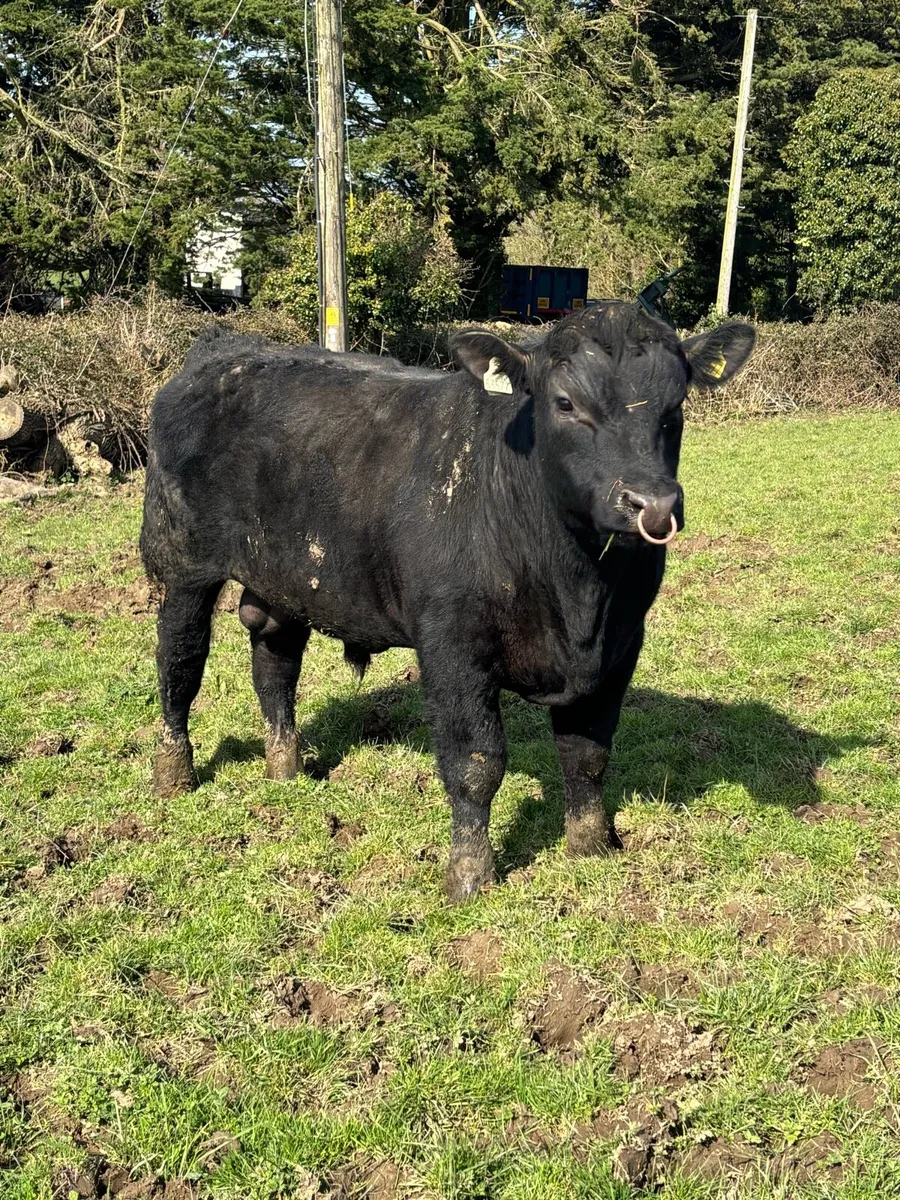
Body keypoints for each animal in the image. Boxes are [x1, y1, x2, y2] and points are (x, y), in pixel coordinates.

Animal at [140, 304, 755, 901]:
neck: (577, 590)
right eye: (565, 402)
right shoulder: (452, 644)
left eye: (676, 406)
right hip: (181, 565)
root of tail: (225, 348)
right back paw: (174, 773)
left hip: (287, 579)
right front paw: (469, 874)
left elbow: (588, 751)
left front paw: (592, 845)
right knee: (180, 664)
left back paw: (284, 765)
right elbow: (476, 763)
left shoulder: (620, 645)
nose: (652, 504)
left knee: (275, 666)